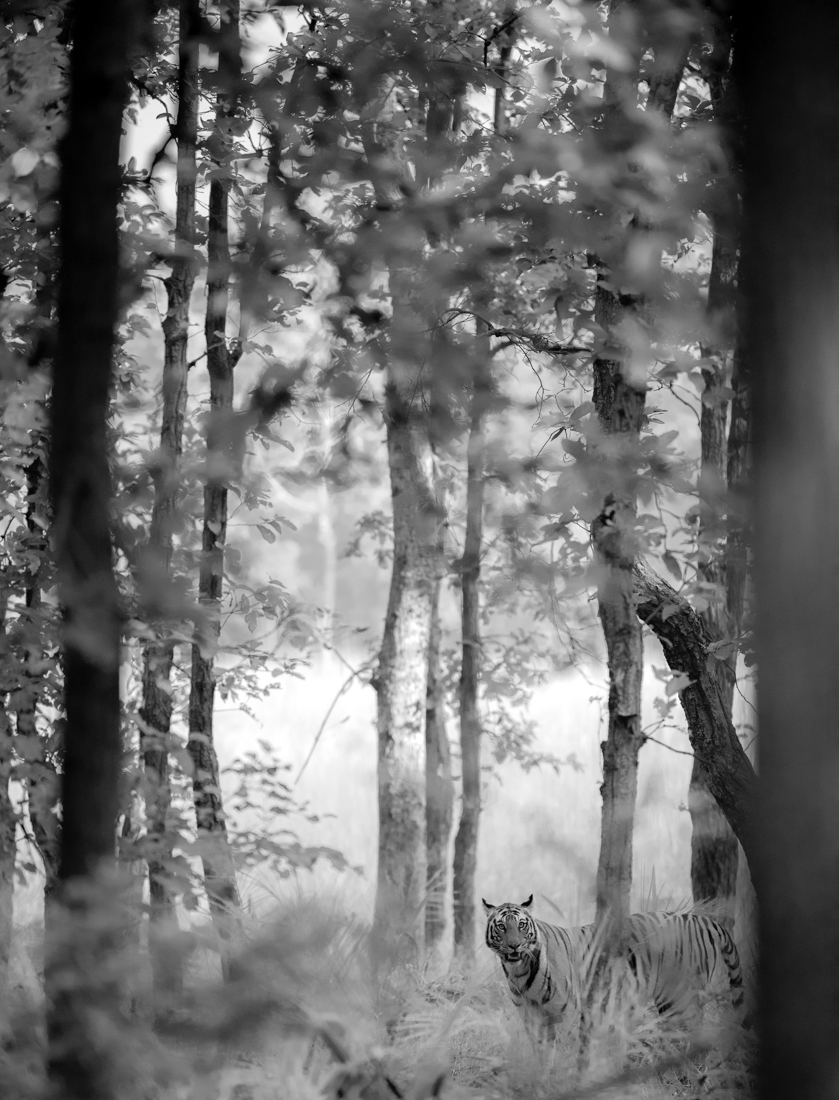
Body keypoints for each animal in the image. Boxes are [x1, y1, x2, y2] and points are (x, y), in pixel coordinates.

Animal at [482, 896, 745, 1043]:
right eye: (502, 927)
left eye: (521, 925)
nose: (514, 945)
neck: (519, 972)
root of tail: (703, 919)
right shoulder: (530, 1016)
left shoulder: (566, 1013)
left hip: (682, 998)